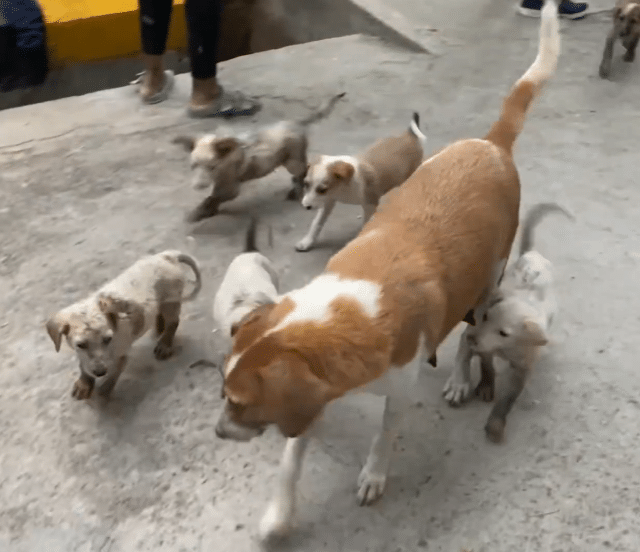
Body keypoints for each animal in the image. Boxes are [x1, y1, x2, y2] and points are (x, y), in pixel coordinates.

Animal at [45, 250, 202, 400]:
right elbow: (83, 365)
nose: (100, 372)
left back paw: (164, 344)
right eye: (81, 344)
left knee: (173, 322)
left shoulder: (121, 355)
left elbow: (114, 374)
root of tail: (167, 256)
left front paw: (104, 391)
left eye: (108, 339)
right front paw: (84, 383)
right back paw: (159, 328)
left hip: (171, 301)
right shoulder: (81, 354)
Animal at [173, 92, 346, 223]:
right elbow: (213, 197)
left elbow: (213, 197)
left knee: (303, 171)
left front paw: (198, 212)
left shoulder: (231, 188)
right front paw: (206, 211)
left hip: (293, 162)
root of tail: (296, 122)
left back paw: (297, 190)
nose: (198, 186)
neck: (225, 158)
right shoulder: (222, 184)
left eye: (211, 167)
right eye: (193, 166)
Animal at [295, 112, 426, 252]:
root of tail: (408, 135)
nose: (306, 206)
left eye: (322, 189)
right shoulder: (329, 201)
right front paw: (307, 241)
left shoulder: (369, 204)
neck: (343, 187)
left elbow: (366, 224)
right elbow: (316, 223)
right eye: (306, 184)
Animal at [466, 203, 574, 443]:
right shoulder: (486, 347)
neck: (506, 349)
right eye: (485, 317)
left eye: (504, 333)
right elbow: (487, 367)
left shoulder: (523, 368)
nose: (470, 339)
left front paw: (496, 425)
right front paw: (486, 386)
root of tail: (532, 254)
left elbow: (508, 399)